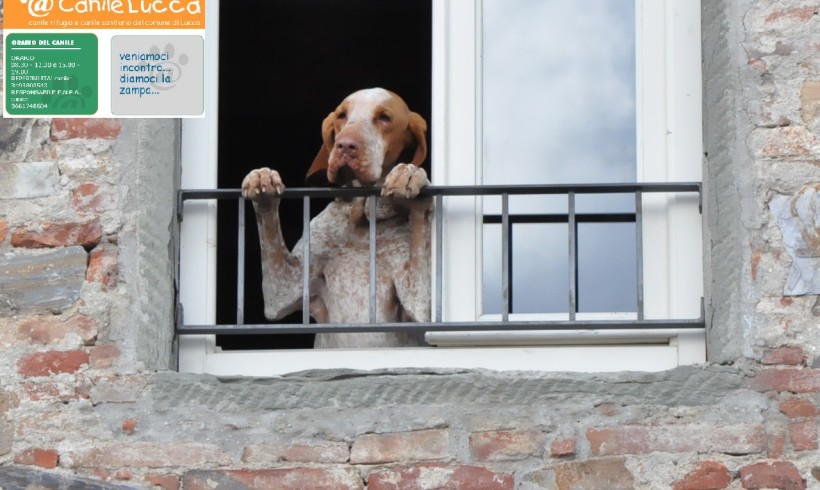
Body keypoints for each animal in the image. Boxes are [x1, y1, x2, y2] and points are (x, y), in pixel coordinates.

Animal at [242, 88, 432, 348]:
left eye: (384, 118)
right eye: (342, 115)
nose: (345, 145)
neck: (361, 221)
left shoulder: (419, 300)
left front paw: (412, 174)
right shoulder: (281, 292)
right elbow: (269, 230)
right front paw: (262, 178)